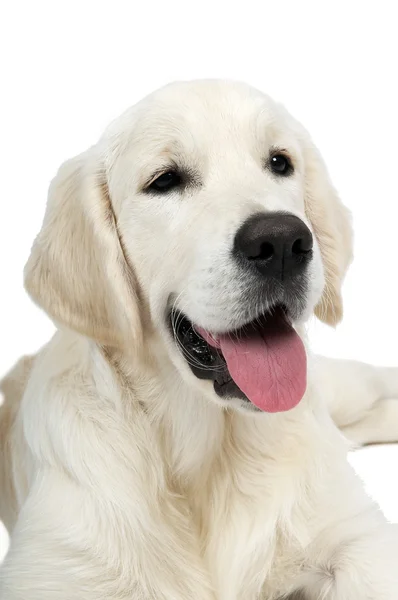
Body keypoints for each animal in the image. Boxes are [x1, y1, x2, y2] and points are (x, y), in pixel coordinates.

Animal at [0, 81, 398, 600]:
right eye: (165, 180)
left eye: (280, 163)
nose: (282, 241)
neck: (209, 450)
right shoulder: (57, 567)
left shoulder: (358, 542)